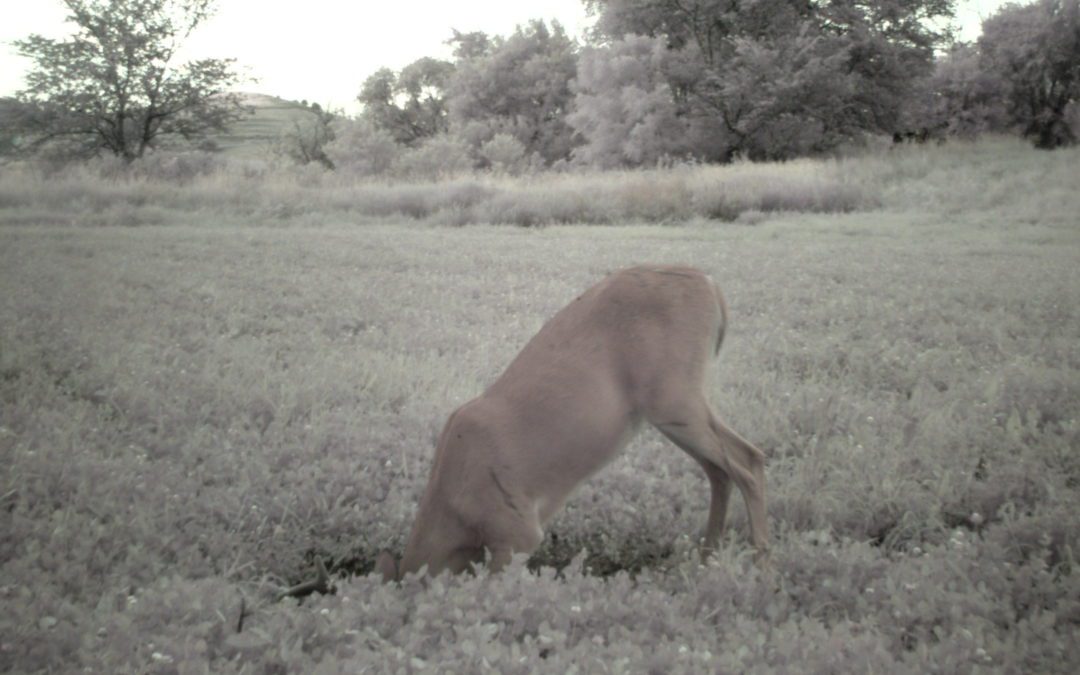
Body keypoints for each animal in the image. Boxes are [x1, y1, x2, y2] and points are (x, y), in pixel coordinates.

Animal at [377, 265, 769, 581]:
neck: (453, 510)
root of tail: (712, 287)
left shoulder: (514, 528)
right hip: (674, 405)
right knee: (721, 468)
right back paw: (706, 558)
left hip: (675, 396)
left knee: (746, 459)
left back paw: (761, 561)